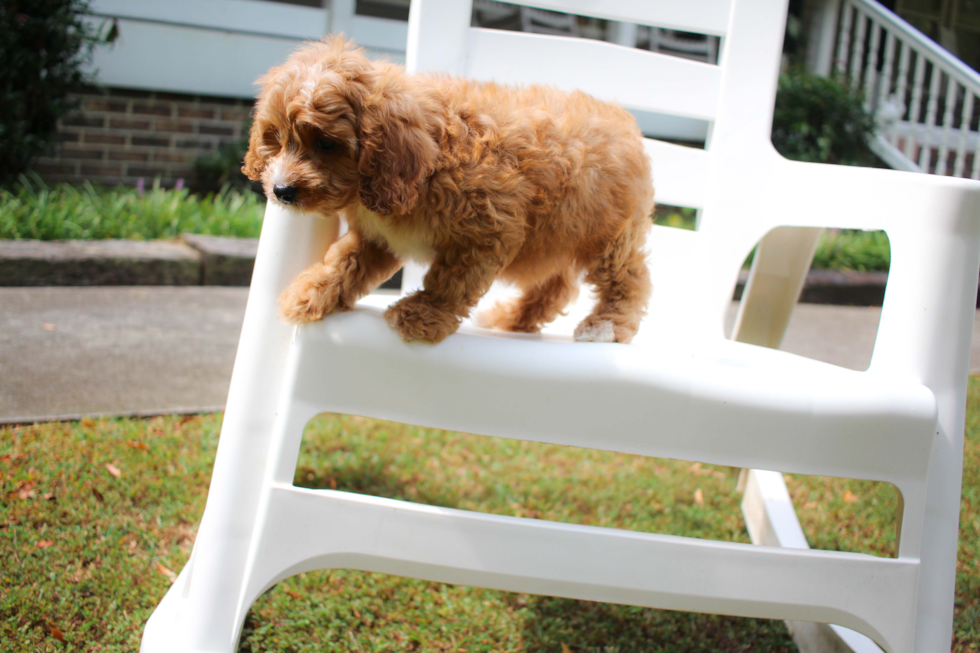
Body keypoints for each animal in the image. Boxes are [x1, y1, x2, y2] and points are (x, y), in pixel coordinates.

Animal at [247, 36, 652, 344]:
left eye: (326, 143)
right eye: (276, 139)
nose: (281, 190)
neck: (431, 158)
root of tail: (626, 123)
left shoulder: (487, 231)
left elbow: (450, 281)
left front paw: (421, 314)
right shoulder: (379, 236)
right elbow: (346, 260)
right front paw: (313, 291)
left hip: (608, 236)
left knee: (628, 278)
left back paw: (606, 325)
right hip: (554, 236)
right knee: (555, 285)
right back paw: (514, 319)